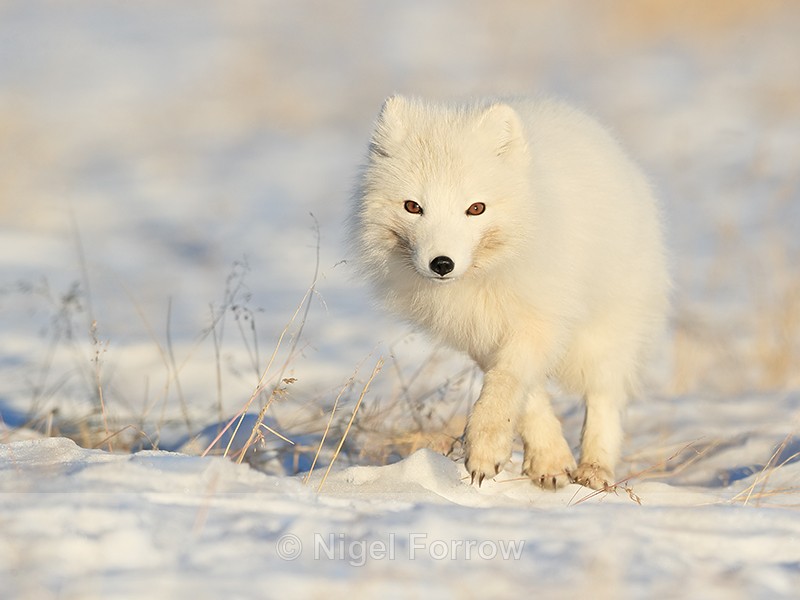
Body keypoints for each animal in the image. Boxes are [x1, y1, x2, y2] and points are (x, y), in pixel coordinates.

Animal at [350, 95, 670, 490]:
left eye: (476, 208)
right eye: (413, 206)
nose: (442, 264)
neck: (487, 275)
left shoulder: (540, 320)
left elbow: (507, 382)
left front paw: (485, 449)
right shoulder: (480, 334)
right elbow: (526, 395)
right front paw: (549, 459)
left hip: (607, 329)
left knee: (605, 394)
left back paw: (596, 468)